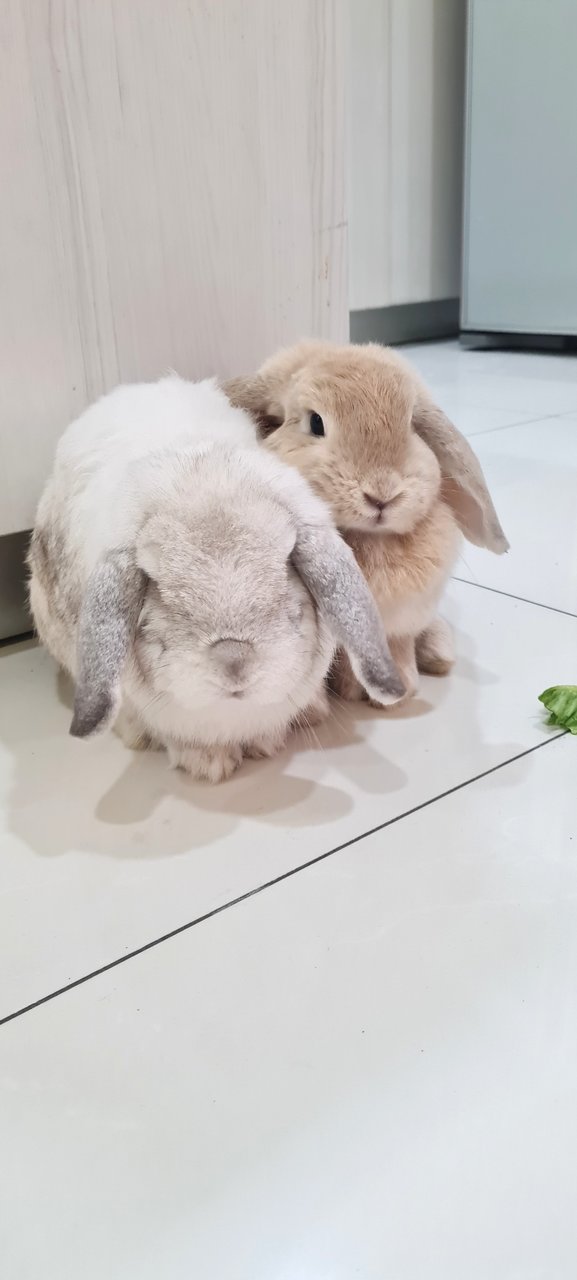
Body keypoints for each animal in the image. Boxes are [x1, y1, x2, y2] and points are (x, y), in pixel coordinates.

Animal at [223, 343, 509, 701]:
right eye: (316, 422)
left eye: (412, 425)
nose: (382, 494)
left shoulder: (400, 625)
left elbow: (397, 648)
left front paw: (399, 691)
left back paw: (437, 655)